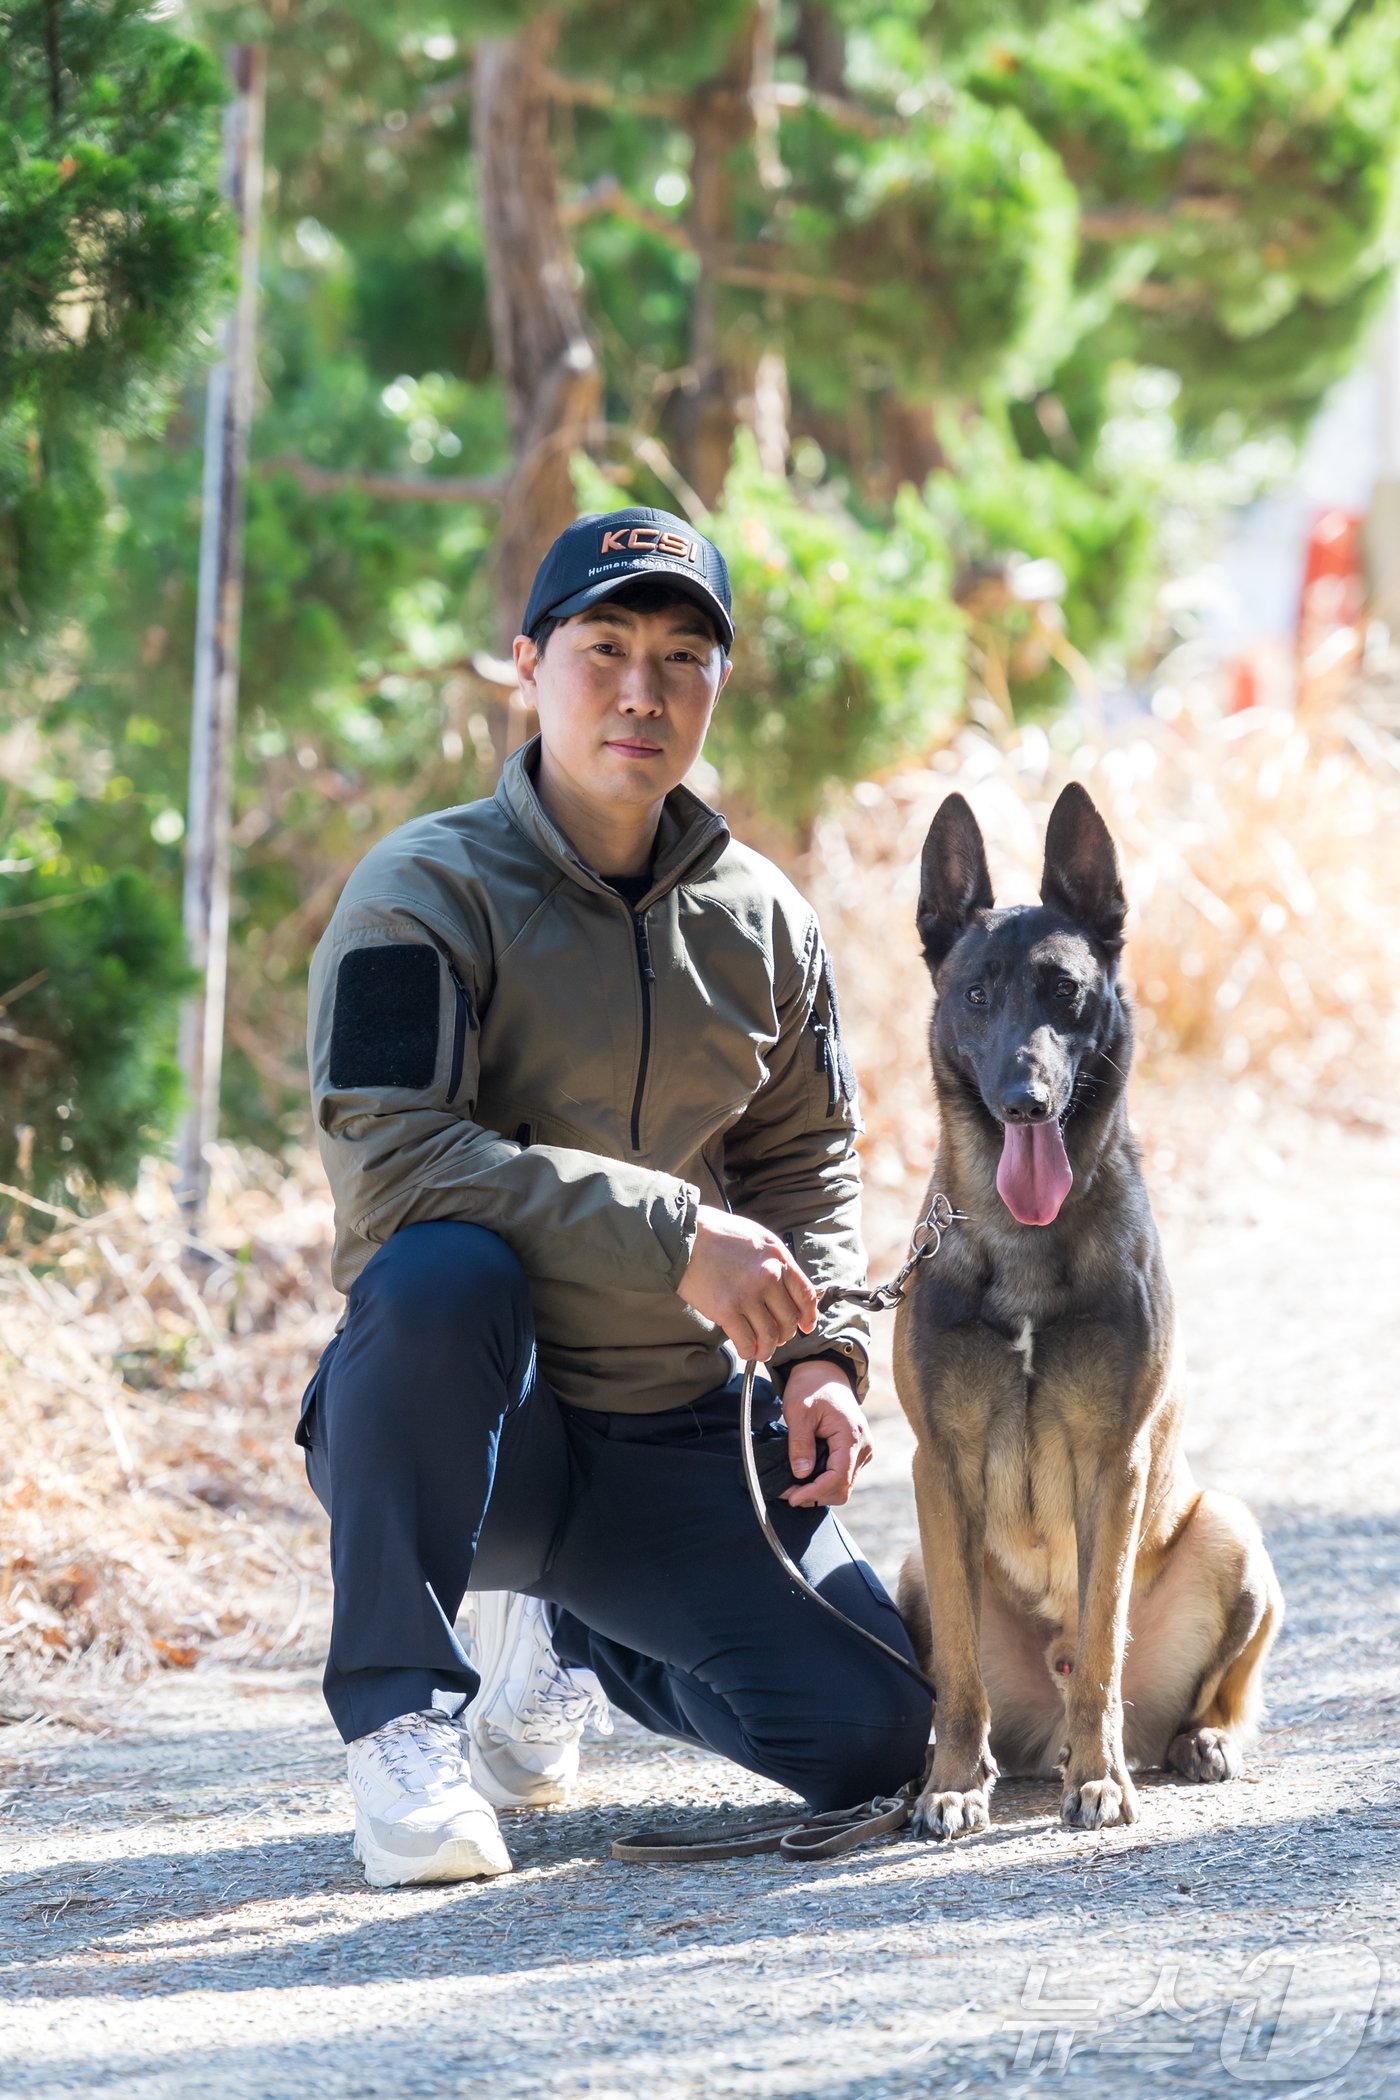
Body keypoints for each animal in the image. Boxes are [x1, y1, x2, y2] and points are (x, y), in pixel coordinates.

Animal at [898, 781, 1284, 1831]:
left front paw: (1101, 1778)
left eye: (1066, 992)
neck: (1026, 1243)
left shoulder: (1116, 1465)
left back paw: (1188, 1744)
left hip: (1232, 1529)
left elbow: (1105, 1636)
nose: (1025, 1100)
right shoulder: (937, 1470)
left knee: (1201, 1691)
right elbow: (959, 1676)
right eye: (976, 995)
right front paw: (953, 1784)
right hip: (911, 1569)